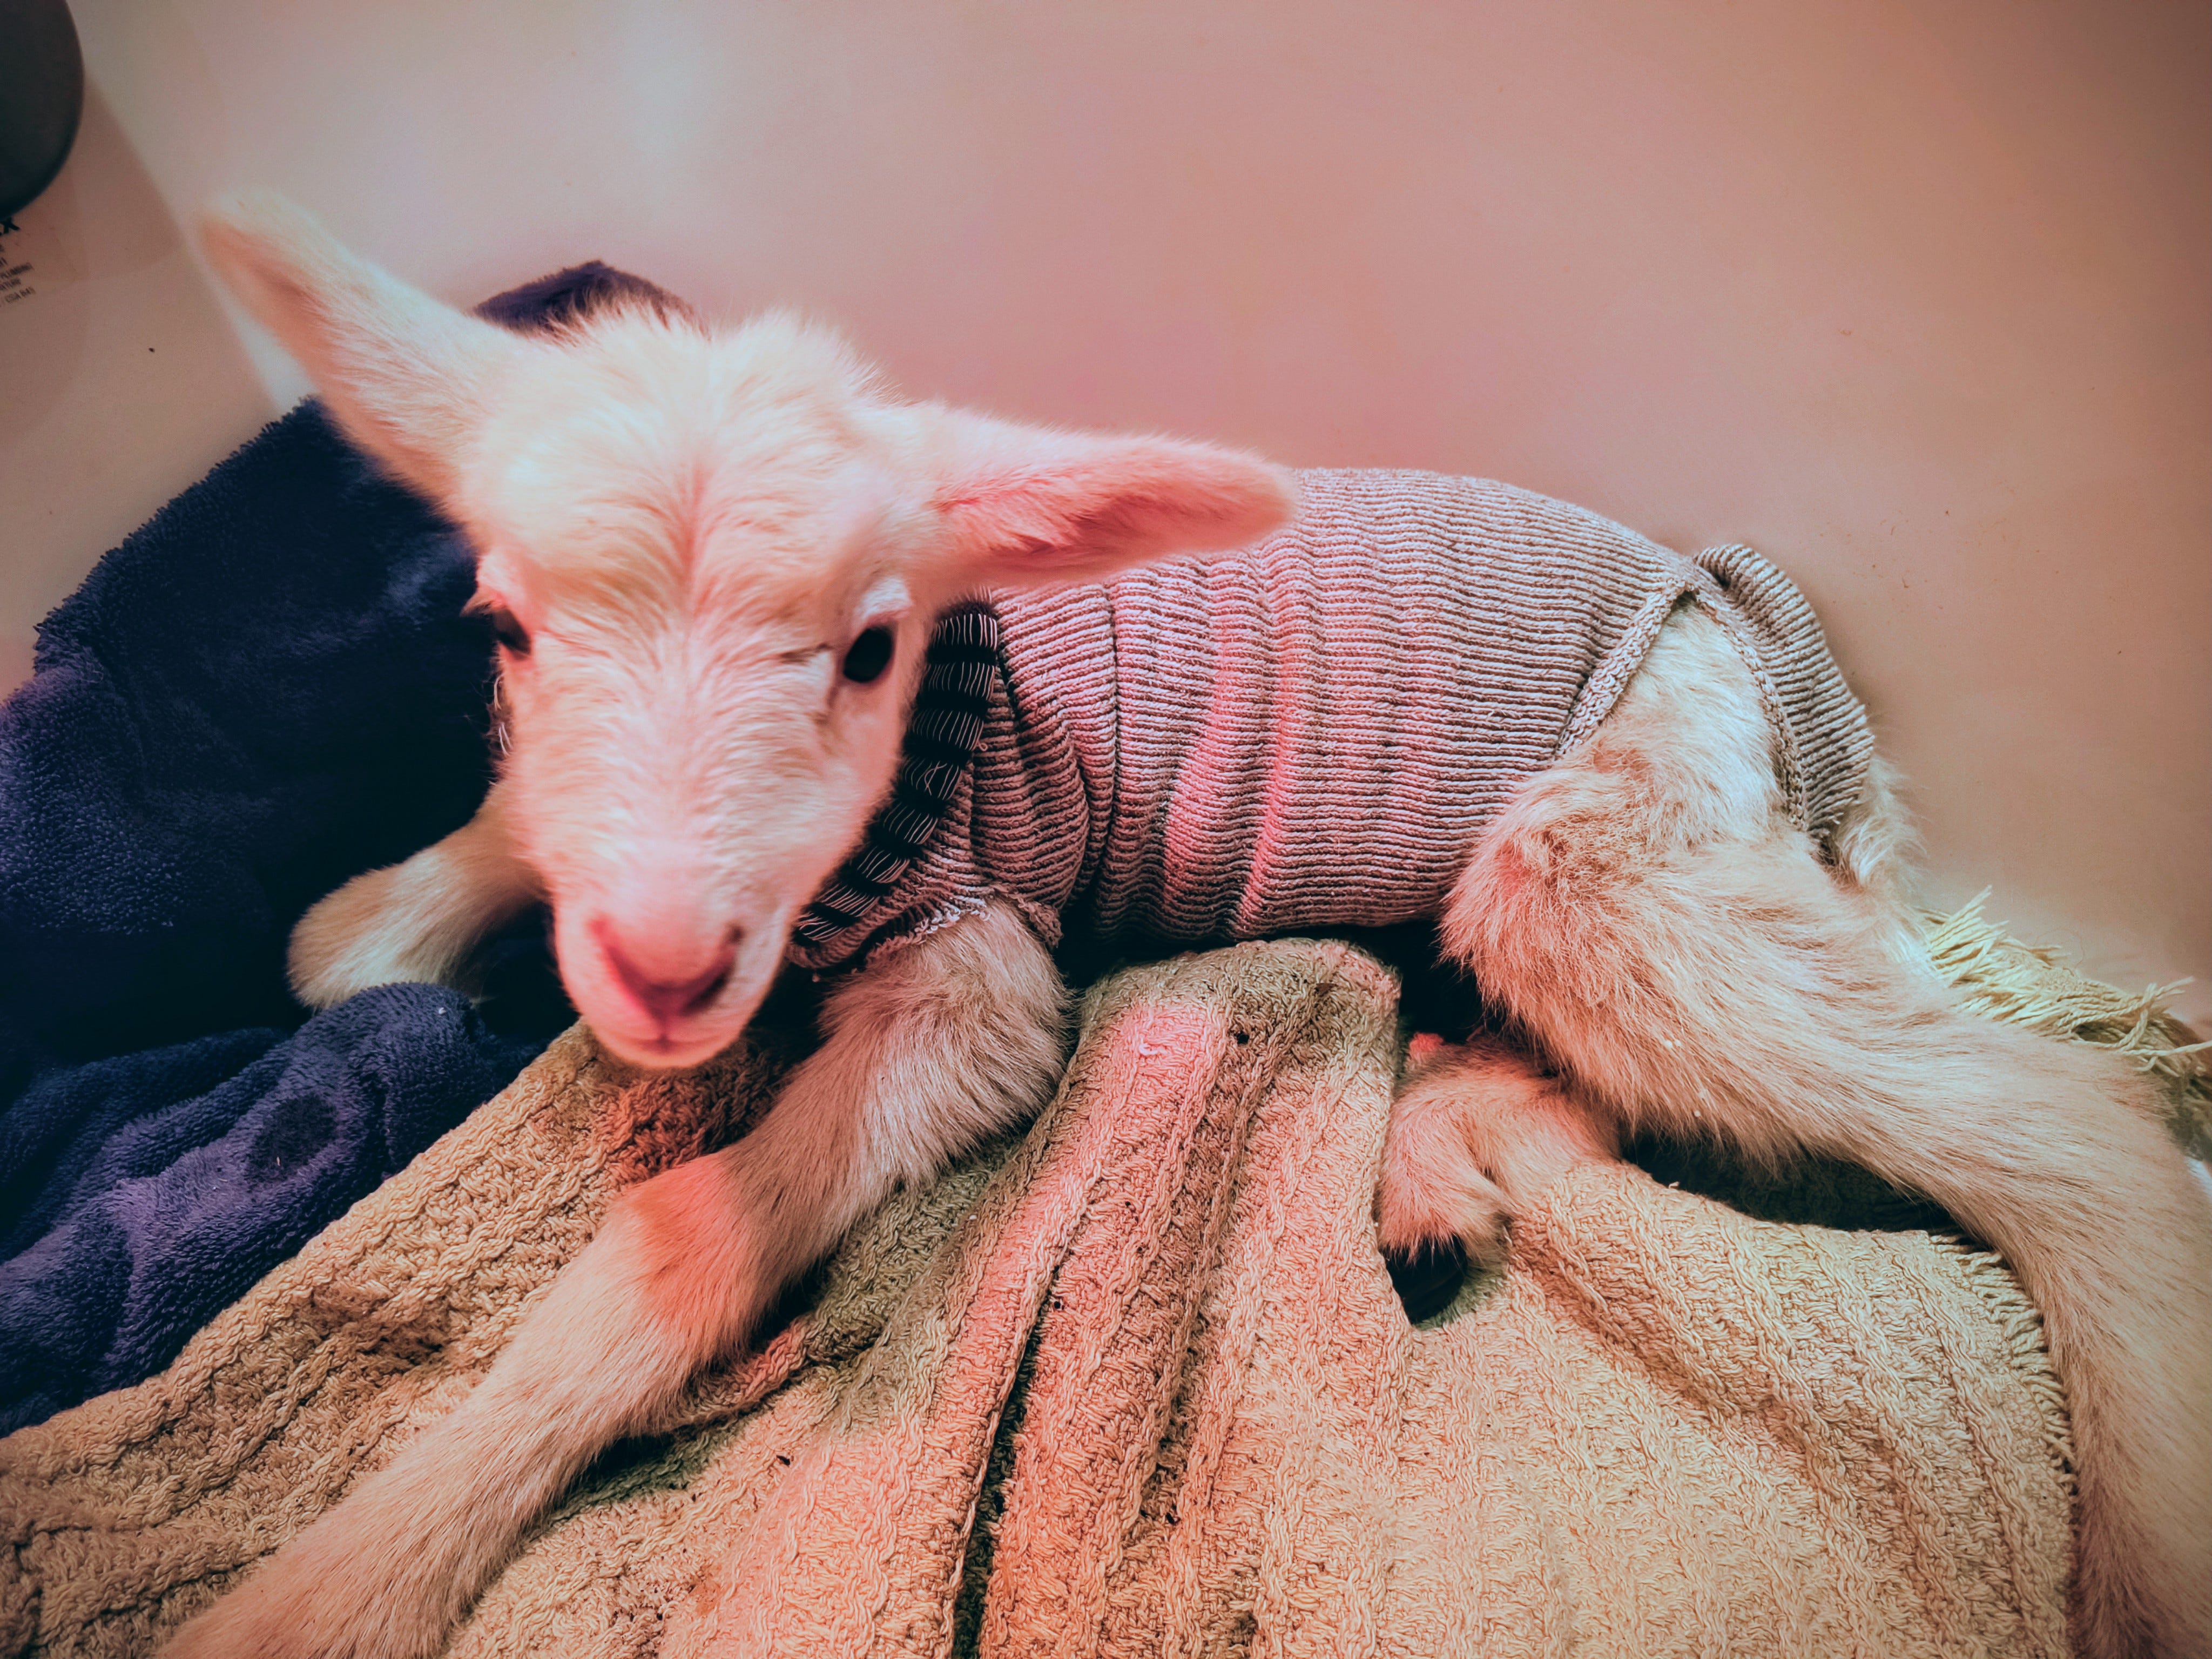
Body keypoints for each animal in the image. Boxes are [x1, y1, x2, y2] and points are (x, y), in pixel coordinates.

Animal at [165, 192, 2210, 1659]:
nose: (662, 976)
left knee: (2074, 1121)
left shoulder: (977, 978)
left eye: (867, 648)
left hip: (1592, 844)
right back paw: (1436, 1168)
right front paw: (381, 919)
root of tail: (1761, 653)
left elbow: (671, 1244)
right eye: (503, 628)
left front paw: (320, 1593)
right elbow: (376, 928)